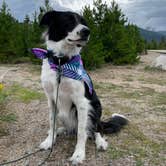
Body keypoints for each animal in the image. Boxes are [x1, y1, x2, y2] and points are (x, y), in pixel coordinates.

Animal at [39, 10, 128, 165]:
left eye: (83, 22)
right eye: (68, 20)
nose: (87, 31)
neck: (61, 63)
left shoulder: (82, 102)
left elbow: (82, 132)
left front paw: (79, 154)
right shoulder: (51, 99)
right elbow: (51, 122)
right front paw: (49, 141)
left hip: (95, 108)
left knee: (96, 129)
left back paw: (100, 142)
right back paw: (60, 130)